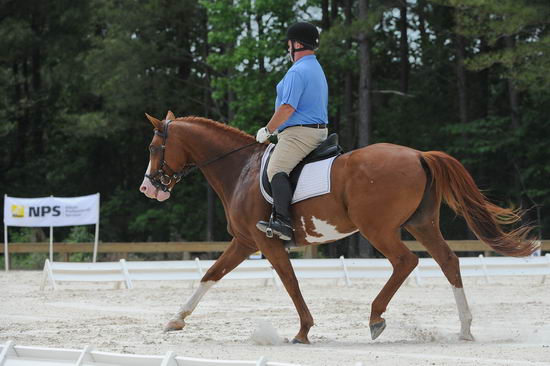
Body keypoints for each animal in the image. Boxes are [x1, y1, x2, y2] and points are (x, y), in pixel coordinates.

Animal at [139, 111, 540, 344]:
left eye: (155, 147)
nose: (148, 188)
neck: (241, 169)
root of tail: (418, 155)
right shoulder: (244, 242)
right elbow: (211, 274)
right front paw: (175, 320)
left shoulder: (267, 243)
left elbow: (291, 283)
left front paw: (302, 331)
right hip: (421, 224)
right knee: (447, 262)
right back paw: (465, 328)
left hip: (378, 228)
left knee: (406, 262)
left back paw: (376, 317)